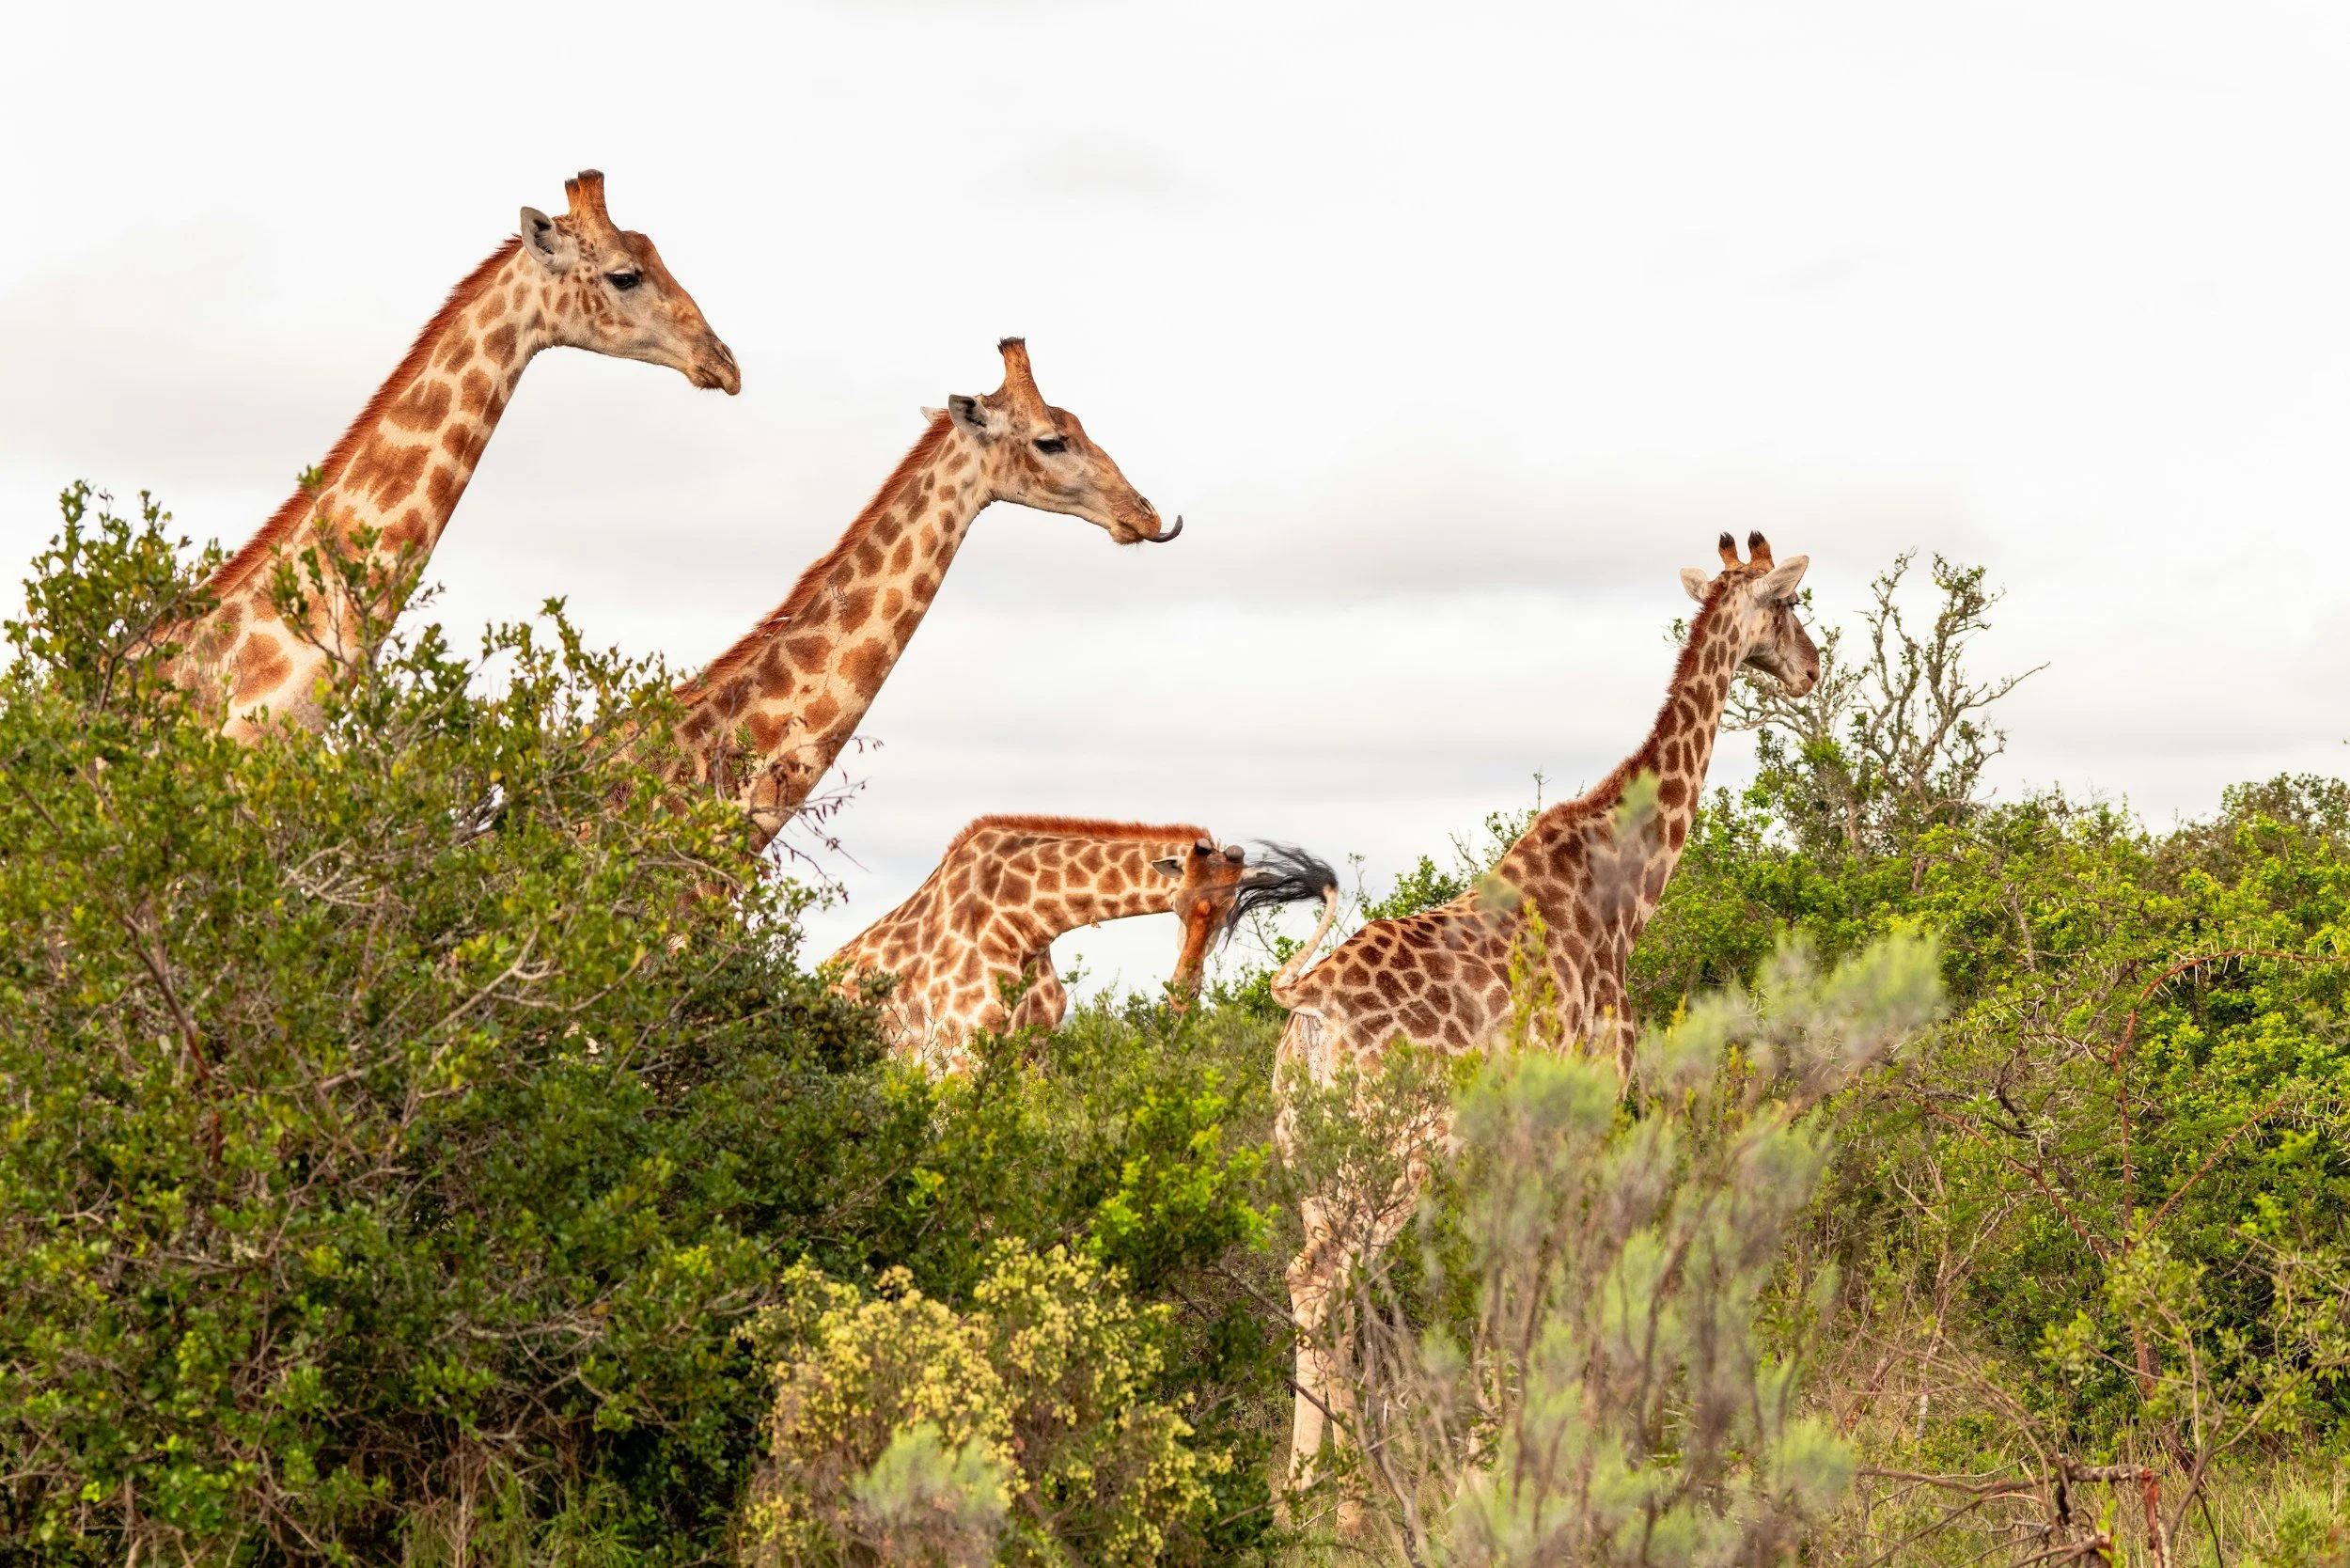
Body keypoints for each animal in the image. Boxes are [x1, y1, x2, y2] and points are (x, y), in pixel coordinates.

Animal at [828, 818, 1335, 1074]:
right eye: (1177, 902)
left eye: (1231, 908)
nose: (1182, 989)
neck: (1025, 924)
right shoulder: (957, 1053)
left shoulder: (1032, 1052)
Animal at [1270, 531, 1820, 1481]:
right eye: (1788, 604)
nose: (1813, 670)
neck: (1626, 890)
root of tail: (1307, 1006)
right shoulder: (1594, 1101)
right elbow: (1569, 1276)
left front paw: (1493, 1449)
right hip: (1393, 1155)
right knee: (1326, 1278)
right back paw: (1338, 1496)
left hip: (1309, 1162)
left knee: (1314, 1286)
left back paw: (1300, 1493)